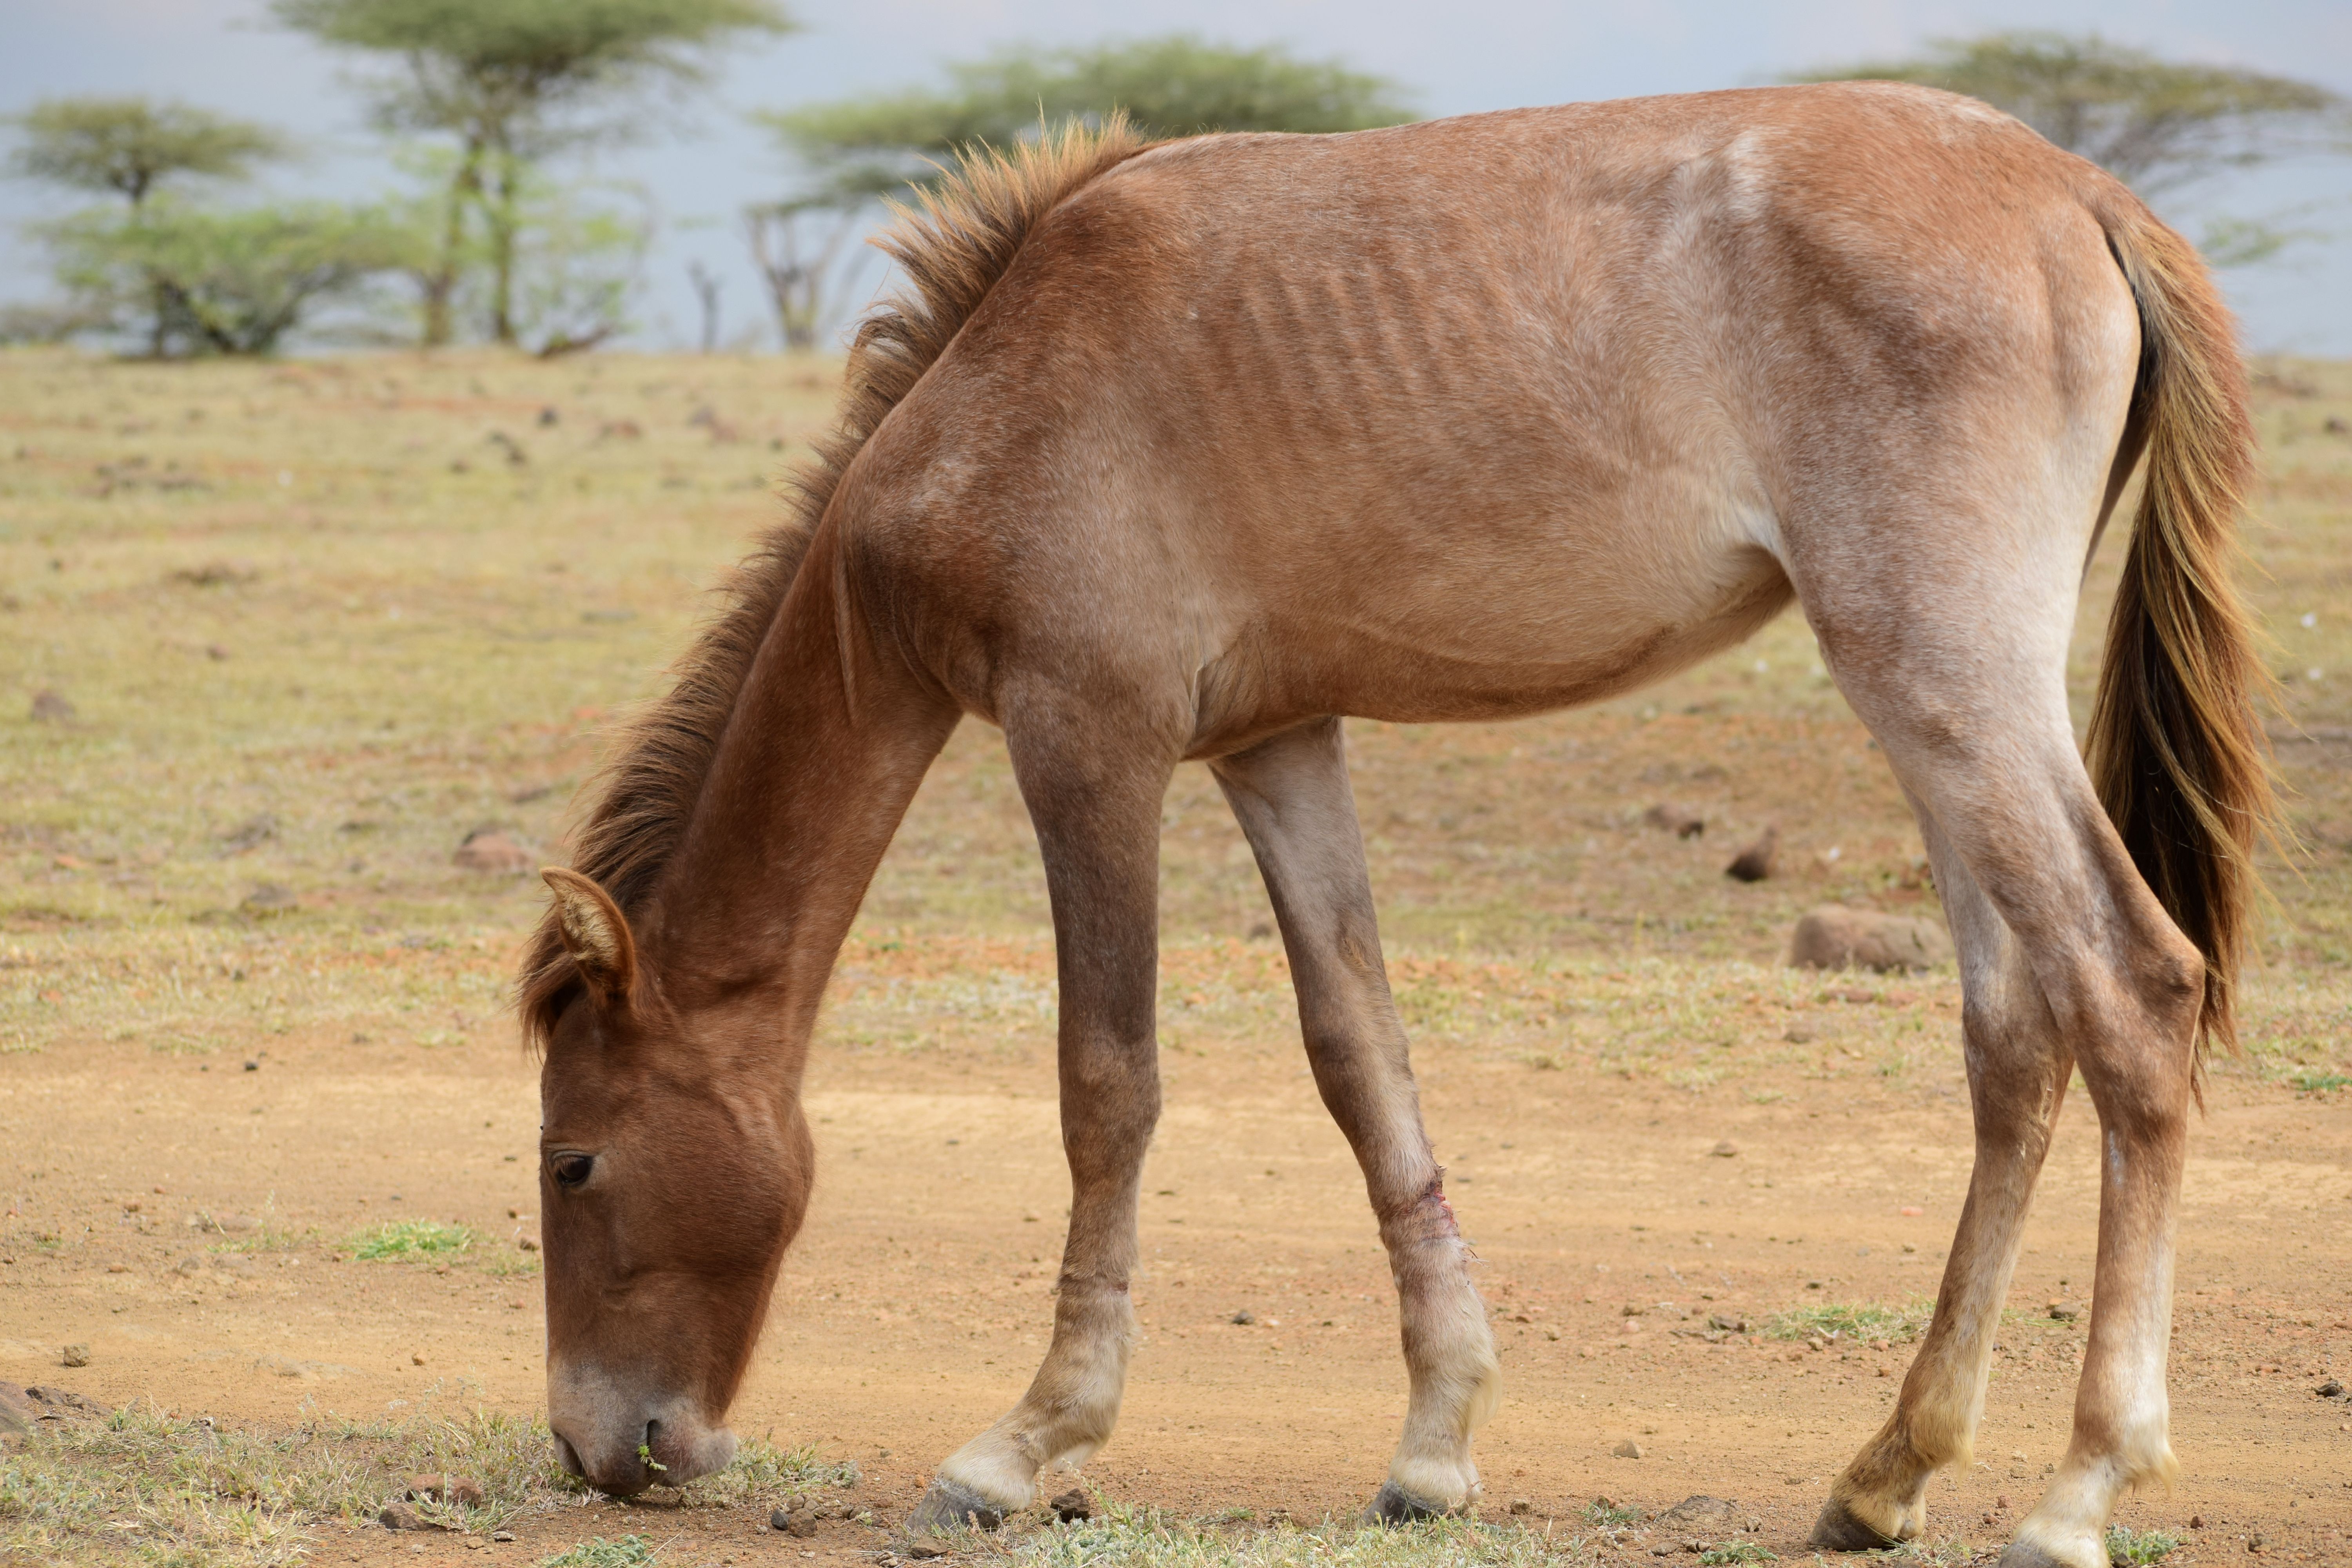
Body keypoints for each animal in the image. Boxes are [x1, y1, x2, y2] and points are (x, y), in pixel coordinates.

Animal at [516, 83, 2272, 1568]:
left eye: (575, 1158)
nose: (601, 1450)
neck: (1001, 380)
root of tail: (2084, 193)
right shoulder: (1275, 745)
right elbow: (1362, 1061)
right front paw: (1435, 1444)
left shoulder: (1090, 740)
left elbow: (1107, 1084)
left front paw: (1024, 1444)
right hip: (1947, 710)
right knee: (2013, 1039)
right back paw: (1888, 1470)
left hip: (1943, 678)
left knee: (2134, 993)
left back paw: (2080, 1489)